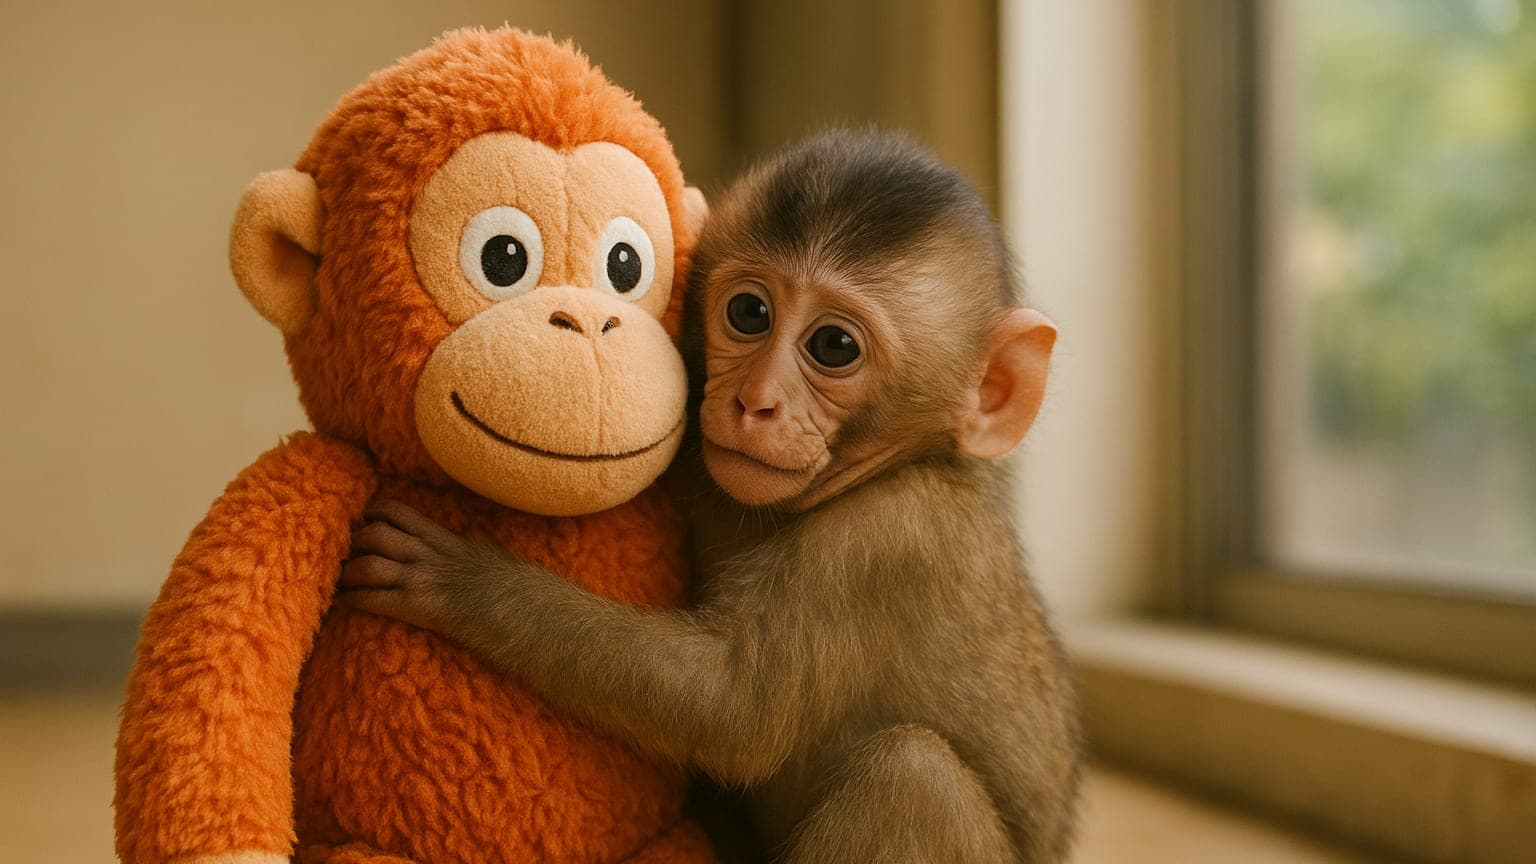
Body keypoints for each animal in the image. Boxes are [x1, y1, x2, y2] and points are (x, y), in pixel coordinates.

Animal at [342, 130, 1082, 864]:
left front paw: (465, 581)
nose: (755, 402)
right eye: (749, 312)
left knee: (912, 775)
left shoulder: (885, 540)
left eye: (834, 345)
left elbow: (734, 713)